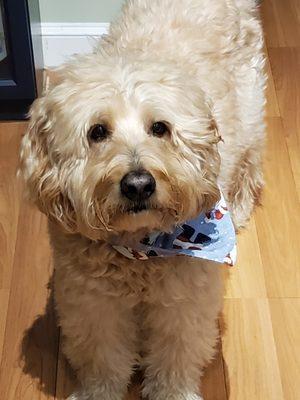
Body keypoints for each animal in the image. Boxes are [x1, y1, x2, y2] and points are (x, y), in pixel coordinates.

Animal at [18, 0, 264, 400]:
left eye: (160, 128)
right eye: (97, 132)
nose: (137, 185)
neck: (141, 248)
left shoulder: (184, 302)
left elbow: (176, 353)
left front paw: (173, 392)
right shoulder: (93, 303)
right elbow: (102, 356)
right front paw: (99, 392)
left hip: (251, 115)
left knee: (249, 166)